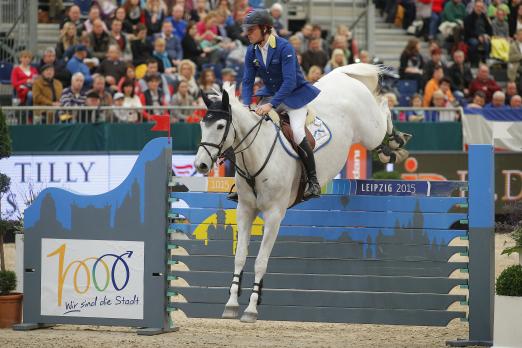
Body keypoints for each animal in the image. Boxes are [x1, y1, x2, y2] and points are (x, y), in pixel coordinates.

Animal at [193, 63, 408, 324]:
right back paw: (389, 149)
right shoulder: (245, 210)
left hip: (369, 130)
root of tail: (341, 75)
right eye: (202, 125)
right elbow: (240, 257)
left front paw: (251, 309)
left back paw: (396, 142)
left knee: (384, 108)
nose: (201, 165)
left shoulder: (274, 215)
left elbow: (261, 261)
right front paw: (232, 305)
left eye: (220, 126)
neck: (256, 155)